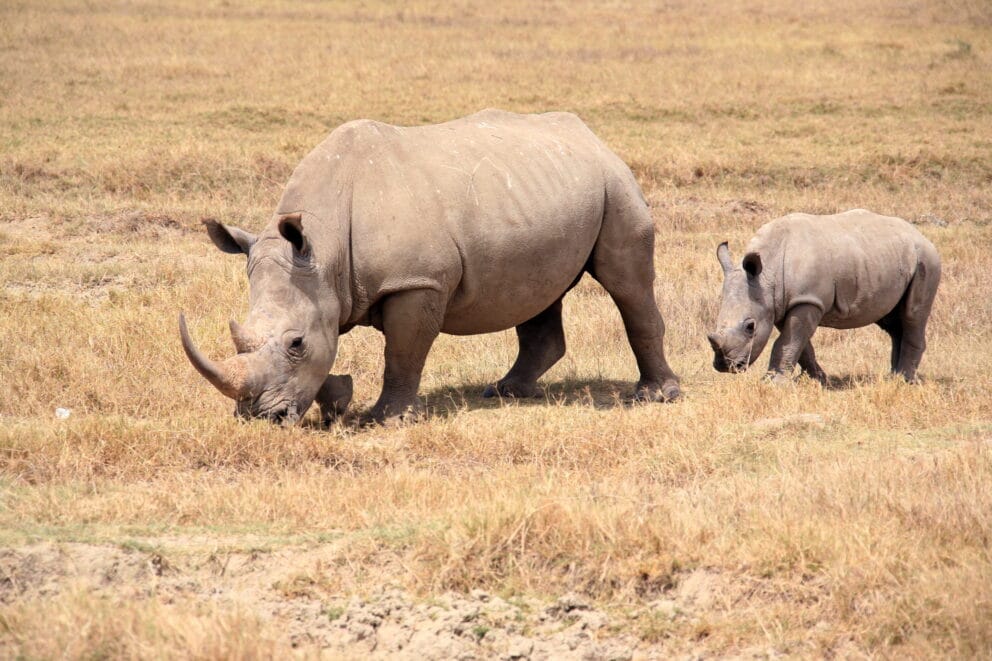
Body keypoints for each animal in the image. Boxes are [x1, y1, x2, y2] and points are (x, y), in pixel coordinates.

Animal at [180, 109, 681, 425]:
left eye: (296, 343)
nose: (262, 420)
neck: (324, 251)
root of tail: (592, 137)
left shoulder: (416, 282)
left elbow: (402, 353)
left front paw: (384, 420)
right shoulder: (324, 287)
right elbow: (333, 351)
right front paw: (338, 401)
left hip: (616, 185)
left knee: (627, 284)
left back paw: (656, 397)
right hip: (544, 192)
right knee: (536, 291)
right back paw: (505, 391)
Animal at [708, 209, 941, 383]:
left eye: (750, 327)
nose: (726, 366)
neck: (767, 276)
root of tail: (921, 235)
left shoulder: (808, 300)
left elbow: (789, 341)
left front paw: (773, 383)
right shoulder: (783, 302)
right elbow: (800, 345)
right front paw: (820, 380)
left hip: (926, 260)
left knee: (912, 315)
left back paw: (904, 380)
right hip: (888, 259)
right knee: (891, 321)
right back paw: (892, 377)